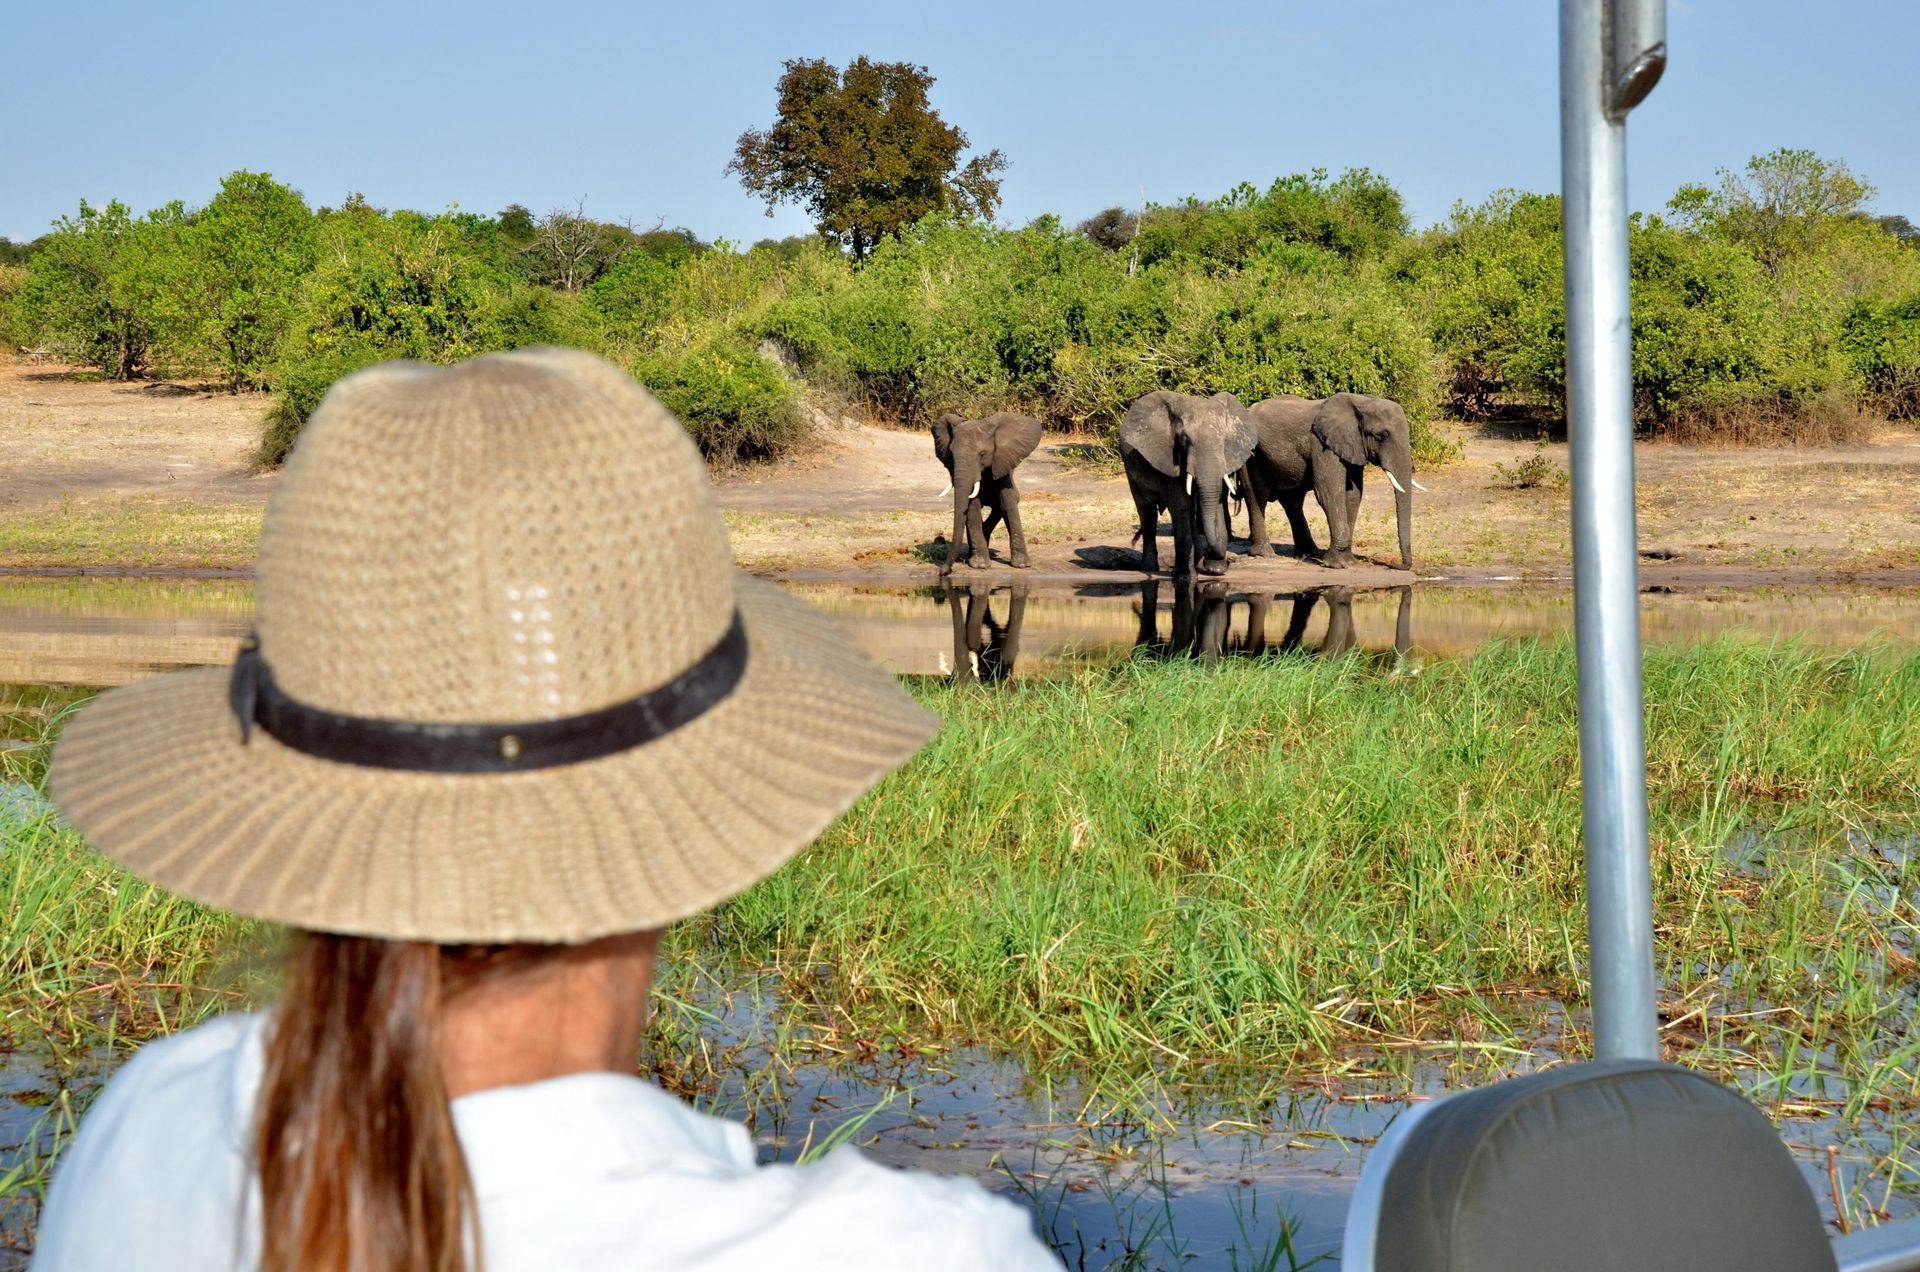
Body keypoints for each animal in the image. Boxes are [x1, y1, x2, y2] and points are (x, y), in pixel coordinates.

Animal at [932, 412, 1044, 572]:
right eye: (951, 455)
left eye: (982, 454)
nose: (943, 572)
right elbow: (972, 507)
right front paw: (980, 565)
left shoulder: (1002, 466)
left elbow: (1008, 504)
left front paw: (1022, 565)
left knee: (1002, 506)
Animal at [1119, 391, 1258, 578]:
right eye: (1185, 441)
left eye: (1224, 441)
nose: (1225, 563)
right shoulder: (1170, 459)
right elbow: (1180, 507)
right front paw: (1185, 577)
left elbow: (1215, 505)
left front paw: (1214, 569)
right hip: (1129, 465)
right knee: (1147, 511)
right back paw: (1150, 568)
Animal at [1237, 393, 1427, 570]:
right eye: (1382, 435)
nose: (1394, 564)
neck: (1361, 402)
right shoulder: (1322, 445)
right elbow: (1328, 492)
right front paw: (1336, 564)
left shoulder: (1352, 446)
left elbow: (1353, 494)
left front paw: (1347, 561)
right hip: (1250, 453)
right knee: (1257, 495)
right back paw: (1264, 554)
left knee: (1293, 501)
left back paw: (1309, 552)